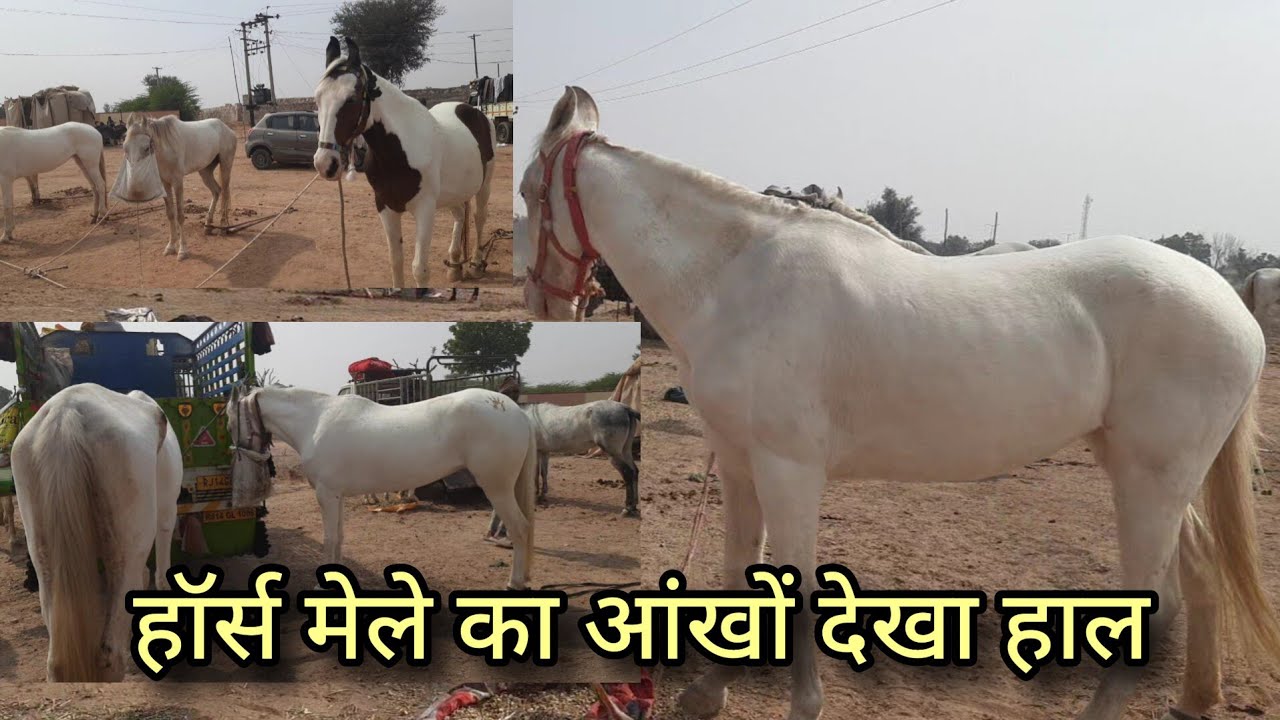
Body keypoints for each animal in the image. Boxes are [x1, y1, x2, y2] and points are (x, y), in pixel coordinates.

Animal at [10, 384, 181, 681]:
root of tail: (65, 416)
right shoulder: (166, 516)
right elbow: (161, 577)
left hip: (41, 547)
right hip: (129, 544)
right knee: (110, 653)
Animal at [115, 114, 235, 259]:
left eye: (146, 148)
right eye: (125, 148)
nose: (134, 182)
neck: (167, 148)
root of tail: (228, 130)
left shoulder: (177, 182)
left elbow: (180, 216)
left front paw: (183, 251)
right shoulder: (165, 184)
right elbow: (170, 214)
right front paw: (171, 247)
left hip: (225, 165)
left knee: (225, 193)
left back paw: (223, 227)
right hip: (205, 171)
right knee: (216, 191)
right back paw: (207, 225)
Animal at [227, 384, 539, 589]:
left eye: (230, 421)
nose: (240, 454)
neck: (315, 421)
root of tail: (514, 410)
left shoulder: (326, 495)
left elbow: (329, 538)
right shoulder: (337, 496)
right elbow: (339, 537)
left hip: (497, 488)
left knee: (520, 528)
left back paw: (514, 583)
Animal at [313, 37, 498, 289]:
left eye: (351, 99)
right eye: (317, 99)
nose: (324, 164)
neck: (400, 151)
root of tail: (474, 111)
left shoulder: (425, 209)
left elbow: (419, 269)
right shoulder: (385, 206)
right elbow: (396, 261)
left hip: (484, 185)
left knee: (479, 217)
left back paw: (476, 264)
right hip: (453, 192)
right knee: (460, 214)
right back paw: (454, 266)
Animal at [521, 86, 1280, 720]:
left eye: (529, 191)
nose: (545, 306)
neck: (739, 278)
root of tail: (1227, 300)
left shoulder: (789, 467)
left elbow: (794, 587)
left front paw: (804, 706)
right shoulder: (738, 463)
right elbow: (740, 570)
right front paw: (709, 693)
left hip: (1150, 479)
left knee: (1159, 597)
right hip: (1150, 473)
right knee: (1199, 572)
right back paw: (1195, 698)